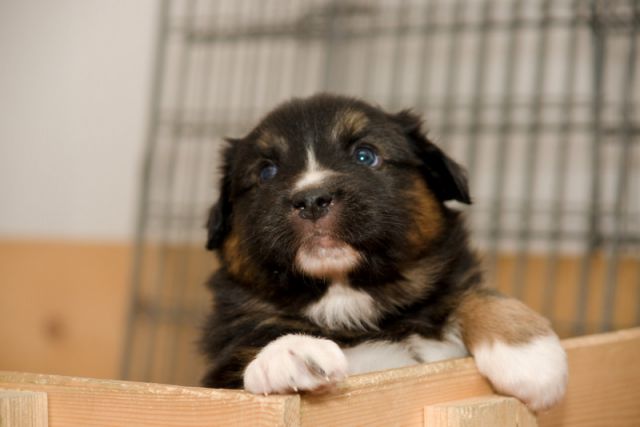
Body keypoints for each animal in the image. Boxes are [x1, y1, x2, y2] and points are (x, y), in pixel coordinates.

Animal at [199, 93, 564, 412]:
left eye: (365, 155)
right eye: (266, 172)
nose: (312, 199)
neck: (346, 298)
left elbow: (474, 295)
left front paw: (528, 354)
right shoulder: (219, 377)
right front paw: (293, 350)